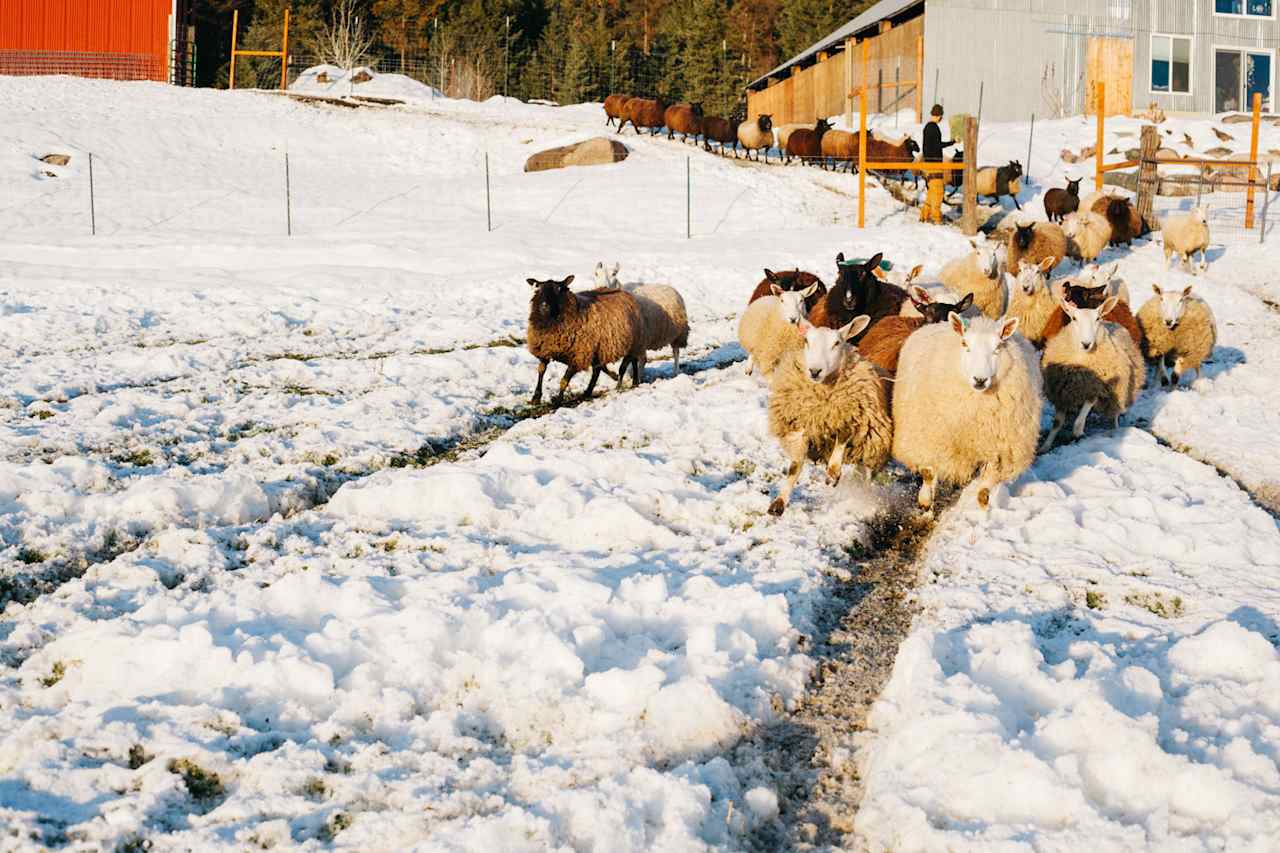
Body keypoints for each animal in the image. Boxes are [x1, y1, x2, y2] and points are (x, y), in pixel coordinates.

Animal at [522, 274, 645, 404]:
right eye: (538, 288)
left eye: (559, 289)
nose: (544, 306)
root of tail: (624, 293)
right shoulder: (545, 350)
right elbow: (541, 371)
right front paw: (536, 397)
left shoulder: (578, 356)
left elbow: (564, 381)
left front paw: (558, 401)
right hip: (599, 349)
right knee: (598, 370)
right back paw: (589, 391)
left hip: (634, 343)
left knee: (631, 362)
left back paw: (633, 382)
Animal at [768, 312, 890, 512]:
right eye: (806, 341)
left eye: (837, 343)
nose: (815, 371)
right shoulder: (801, 426)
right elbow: (794, 467)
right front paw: (779, 502)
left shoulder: (851, 416)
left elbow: (842, 440)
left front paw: (832, 473)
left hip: (872, 441)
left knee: (865, 474)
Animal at [890, 312, 1039, 512]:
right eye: (965, 344)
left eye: (998, 348)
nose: (980, 379)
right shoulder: (929, 440)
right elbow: (928, 474)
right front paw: (925, 502)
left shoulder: (1000, 450)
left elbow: (984, 490)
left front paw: (983, 511)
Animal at [1044, 294, 1146, 450]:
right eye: (1074, 318)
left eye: (1097, 319)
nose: (1086, 344)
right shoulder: (1062, 391)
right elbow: (1057, 423)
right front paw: (1045, 446)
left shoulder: (1095, 388)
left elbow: (1080, 419)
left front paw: (1078, 432)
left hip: (1120, 388)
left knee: (1115, 411)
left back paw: (1116, 429)